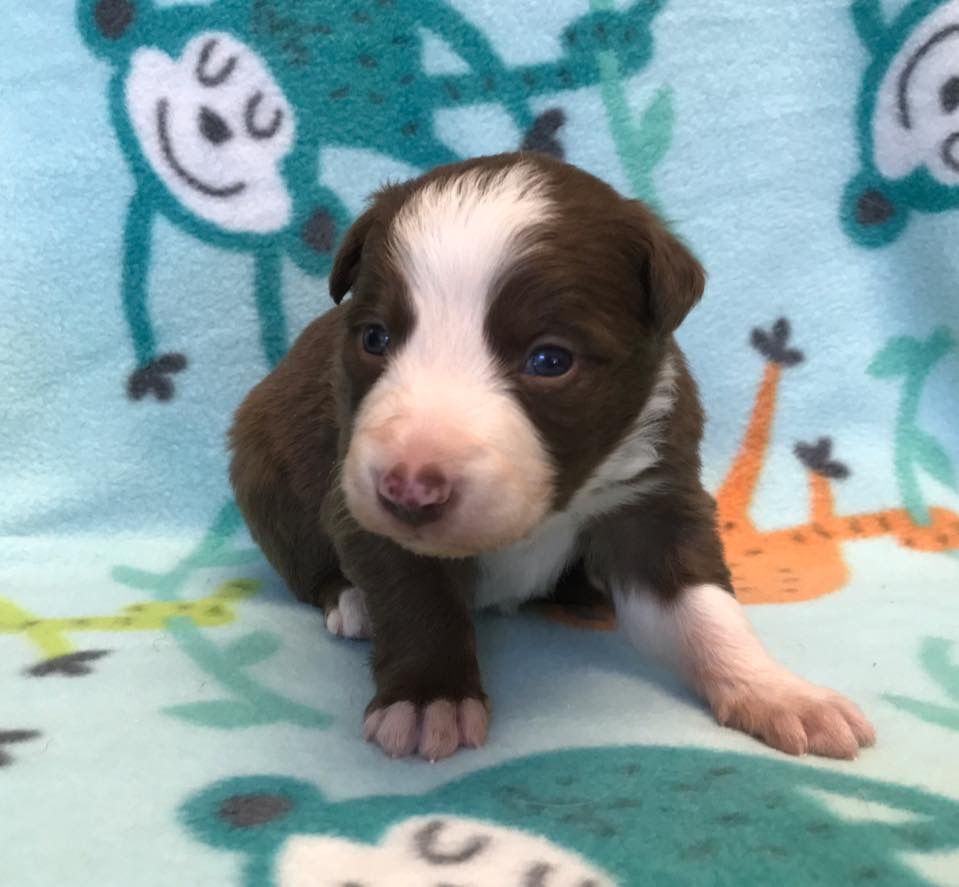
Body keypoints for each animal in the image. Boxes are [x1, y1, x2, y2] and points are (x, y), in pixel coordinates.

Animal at [230, 153, 875, 761]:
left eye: (550, 360)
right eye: (374, 338)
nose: (409, 490)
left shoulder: (652, 494)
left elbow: (705, 609)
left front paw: (780, 692)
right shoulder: (356, 499)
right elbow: (414, 597)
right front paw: (428, 700)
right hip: (261, 468)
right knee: (307, 565)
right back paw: (351, 600)